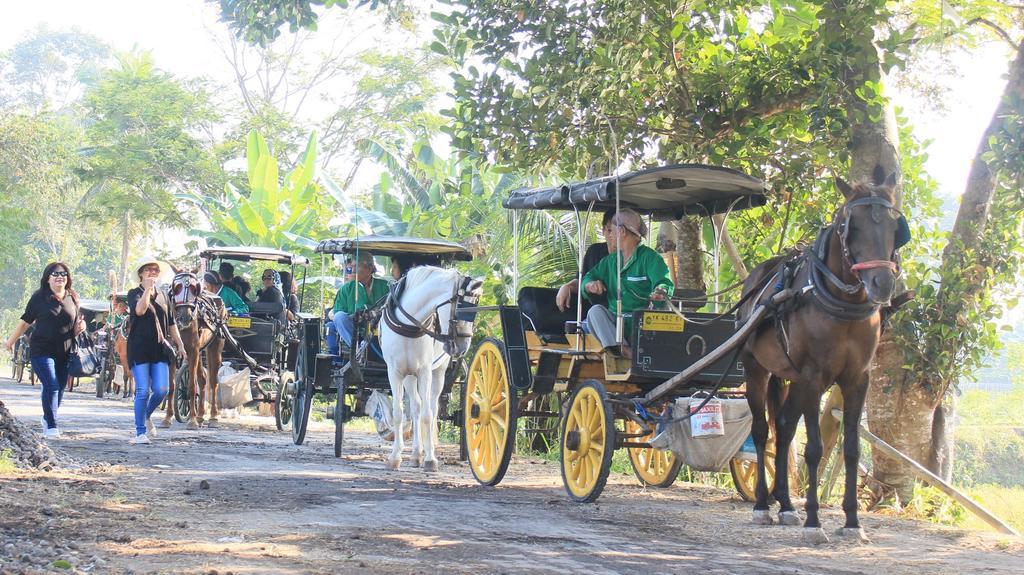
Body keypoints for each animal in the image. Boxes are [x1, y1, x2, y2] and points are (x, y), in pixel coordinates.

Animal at [159, 270, 226, 427]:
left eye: (195, 289)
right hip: (201, 351)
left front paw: (192, 420)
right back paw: (201, 415)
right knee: (203, 379)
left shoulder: (192, 351)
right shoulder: (172, 352)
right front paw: (168, 417)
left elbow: (191, 386)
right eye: (176, 287)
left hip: (215, 345)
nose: (185, 317)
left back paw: (213, 417)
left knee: (213, 380)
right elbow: (172, 386)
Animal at [380, 263, 483, 470]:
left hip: (438, 373)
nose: (462, 348)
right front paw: (395, 457)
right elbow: (398, 413)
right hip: (409, 376)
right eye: (462, 309)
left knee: (432, 408)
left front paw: (430, 459)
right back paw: (415, 454)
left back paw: (424, 453)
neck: (408, 325)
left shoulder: (425, 370)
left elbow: (428, 415)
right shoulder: (394, 372)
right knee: (415, 408)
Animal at [737, 164, 905, 536]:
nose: (882, 284)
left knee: (784, 428)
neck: (841, 302)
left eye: (894, 226)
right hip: (757, 368)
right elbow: (813, 448)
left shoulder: (857, 378)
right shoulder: (814, 376)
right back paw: (762, 504)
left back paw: (785, 505)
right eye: (852, 226)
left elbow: (852, 448)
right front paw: (814, 521)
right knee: (762, 430)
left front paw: (852, 521)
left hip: (793, 378)